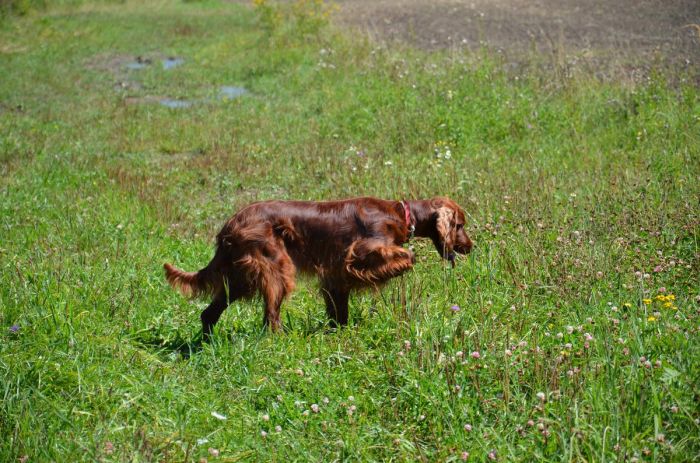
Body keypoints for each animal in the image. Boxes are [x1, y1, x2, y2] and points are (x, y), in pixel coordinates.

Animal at [164, 198, 474, 336]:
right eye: (460, 225)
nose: (471, 246)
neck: (402, 214)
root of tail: (229, 225)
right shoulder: (356, 253)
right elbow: (408, 256)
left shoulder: (334, 276)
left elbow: (339, 309)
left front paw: (339, 331)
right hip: (276, 269)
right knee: (270, 316)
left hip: (240, 277)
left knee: (209, 313)